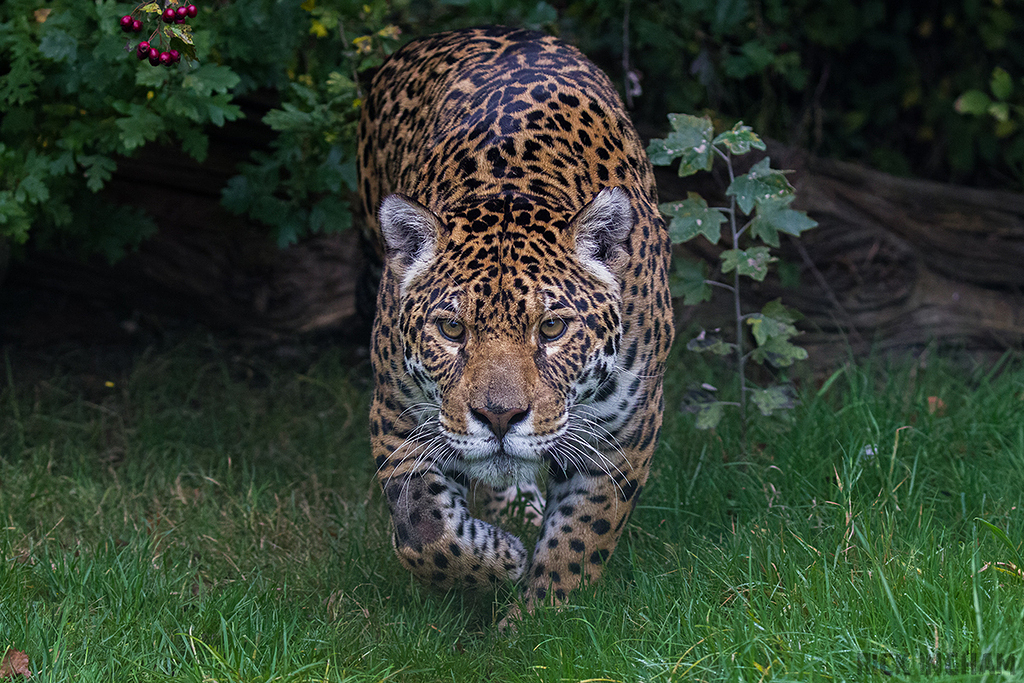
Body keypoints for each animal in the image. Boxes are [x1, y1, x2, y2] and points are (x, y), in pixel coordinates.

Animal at [358, 25, 673, 612]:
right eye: (451, 329)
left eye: (552, 329)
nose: (500, 418)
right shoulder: (396, 414)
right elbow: (424, 532)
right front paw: (501, 559)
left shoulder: (625, 433)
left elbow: (579, 542)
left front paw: (539, 615)